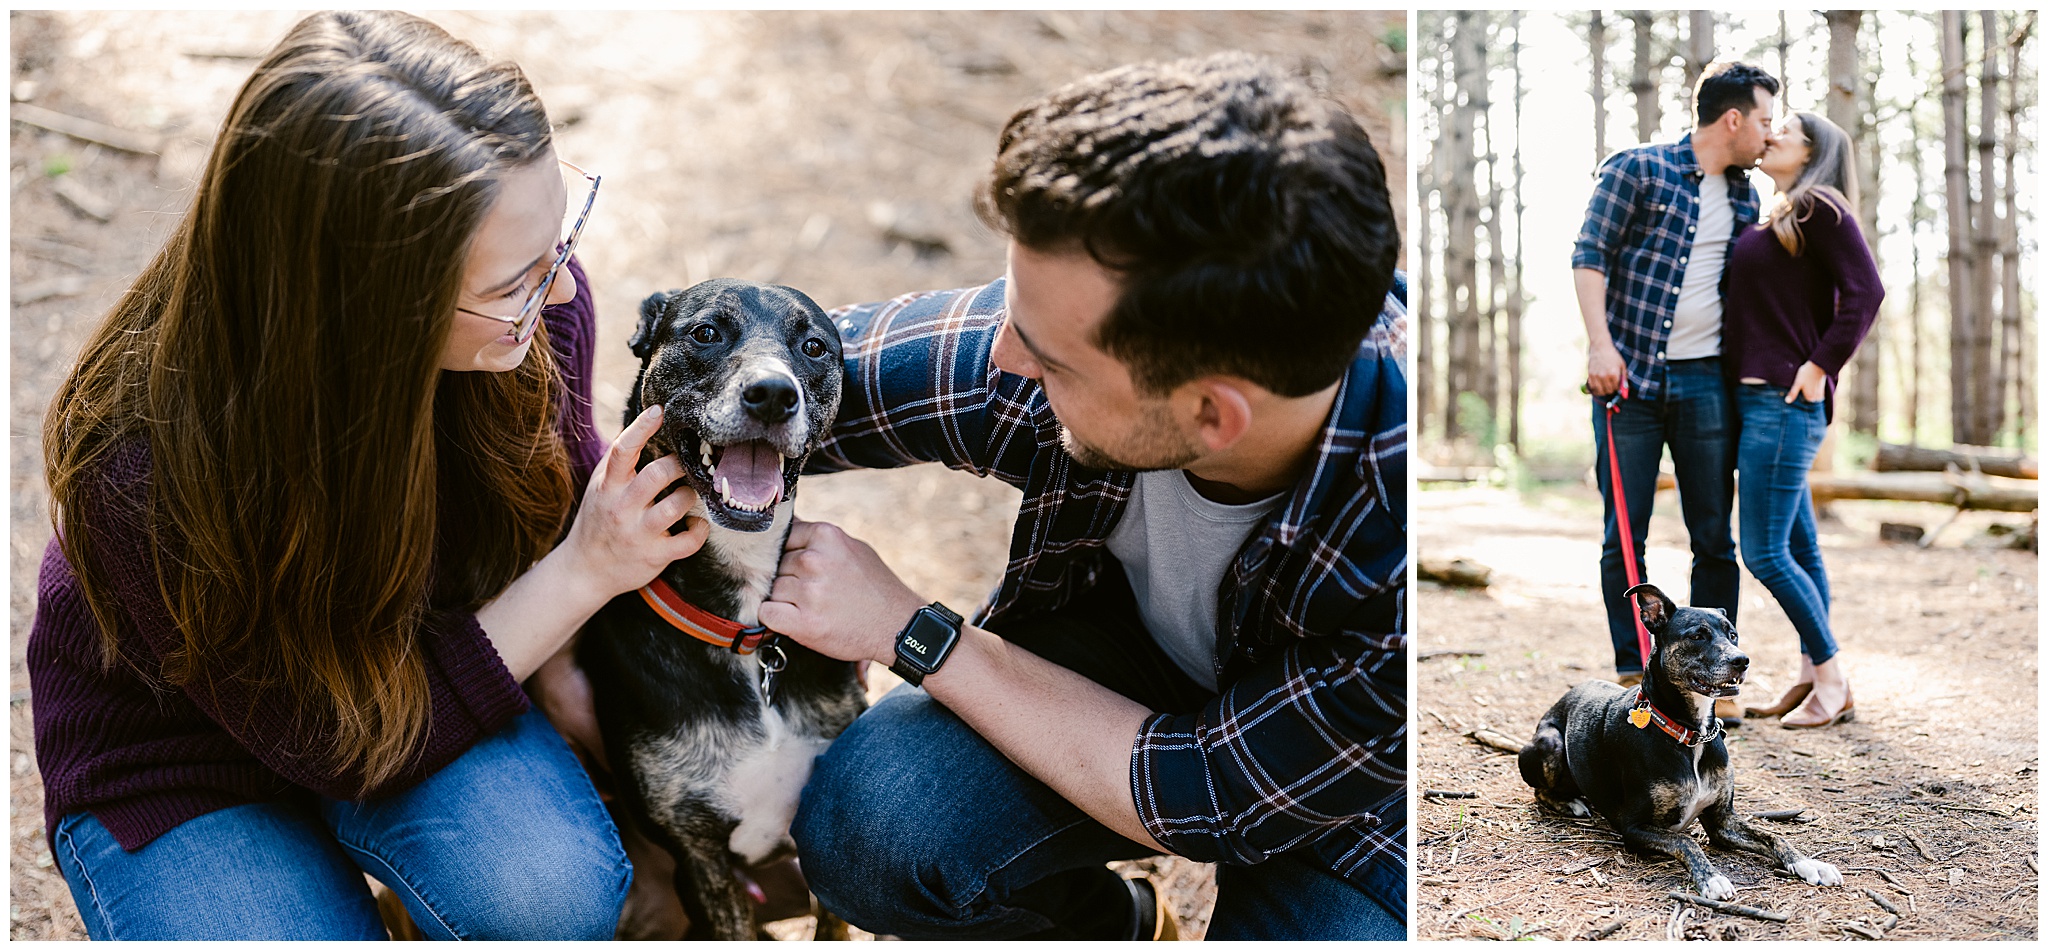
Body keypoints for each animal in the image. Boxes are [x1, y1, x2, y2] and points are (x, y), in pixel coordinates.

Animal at [1523, 577, 1843, 897]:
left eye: (1733, 635)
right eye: (1697, 636)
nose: (1742, 660)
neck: (1691, 733)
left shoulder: (1722, 821)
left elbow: (1774, 835)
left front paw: (1809, 864)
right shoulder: (1634, 827)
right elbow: (1685, 840)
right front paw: (1712, 878)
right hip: (1550, 744)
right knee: (1539, 791)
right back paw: (1571, 803)